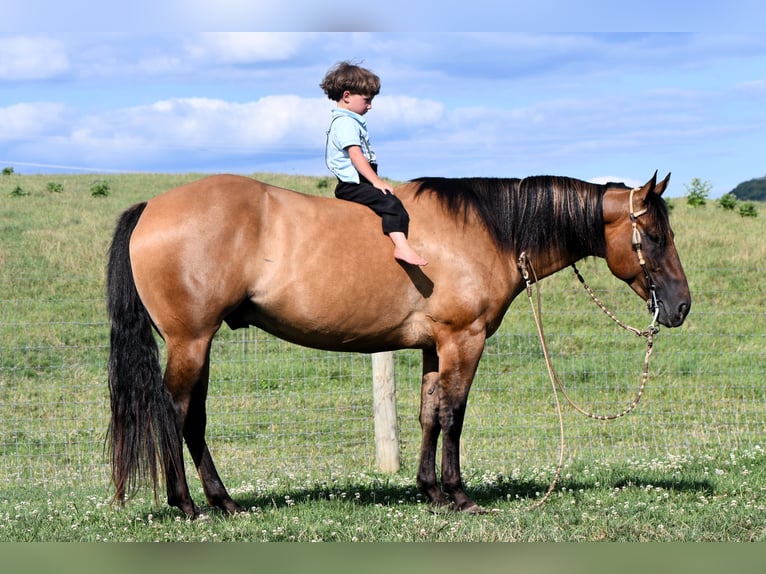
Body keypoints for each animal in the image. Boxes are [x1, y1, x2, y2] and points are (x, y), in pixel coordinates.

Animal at [106, 170, 688, 516]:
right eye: (656, 237)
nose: (681, 307)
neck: (487, 230)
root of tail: (150, 207)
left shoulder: (436, 346)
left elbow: (430, 413)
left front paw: (430, 490)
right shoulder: (464, 340)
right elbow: (454, 414)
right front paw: (459, 495)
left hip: (197, 345)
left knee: (194, 419)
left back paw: (221, 499)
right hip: (190, 342)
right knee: (174, 413)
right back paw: (187, 504)